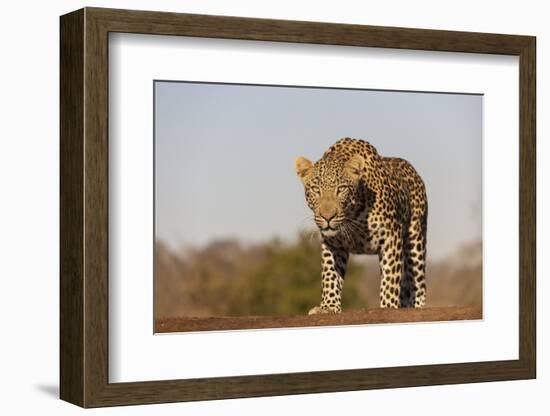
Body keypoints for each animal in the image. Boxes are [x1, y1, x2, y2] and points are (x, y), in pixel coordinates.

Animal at [296, 138, 430, 314]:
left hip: (416, 241)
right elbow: (330, 275)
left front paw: (388, 307)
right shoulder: (333, 244)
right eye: (315, 189)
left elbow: (390, 280)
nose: (327, 217)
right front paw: (328, 307)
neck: (353, 215)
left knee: (418, 283)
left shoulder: (391, 237)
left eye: (341, 189)